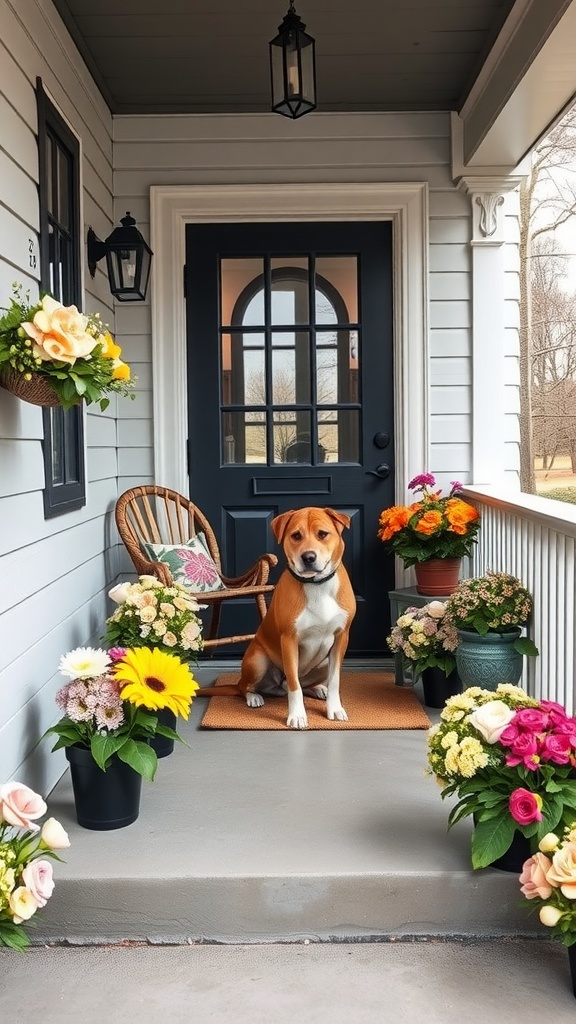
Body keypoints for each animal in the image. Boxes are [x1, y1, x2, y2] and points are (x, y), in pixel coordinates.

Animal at [198, 503, 354, 729]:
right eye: (296, 535)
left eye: (323, 534)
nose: (308, 557)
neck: (316, 586)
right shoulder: (289, 639)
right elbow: (294, 685)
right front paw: (297, 715)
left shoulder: (341, 638)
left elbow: (334, 680)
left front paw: (334, 708)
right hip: (258, 660)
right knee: (247, 687)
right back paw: (254, 697)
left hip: (324, 661)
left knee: (302, 683)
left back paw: (317, 689)